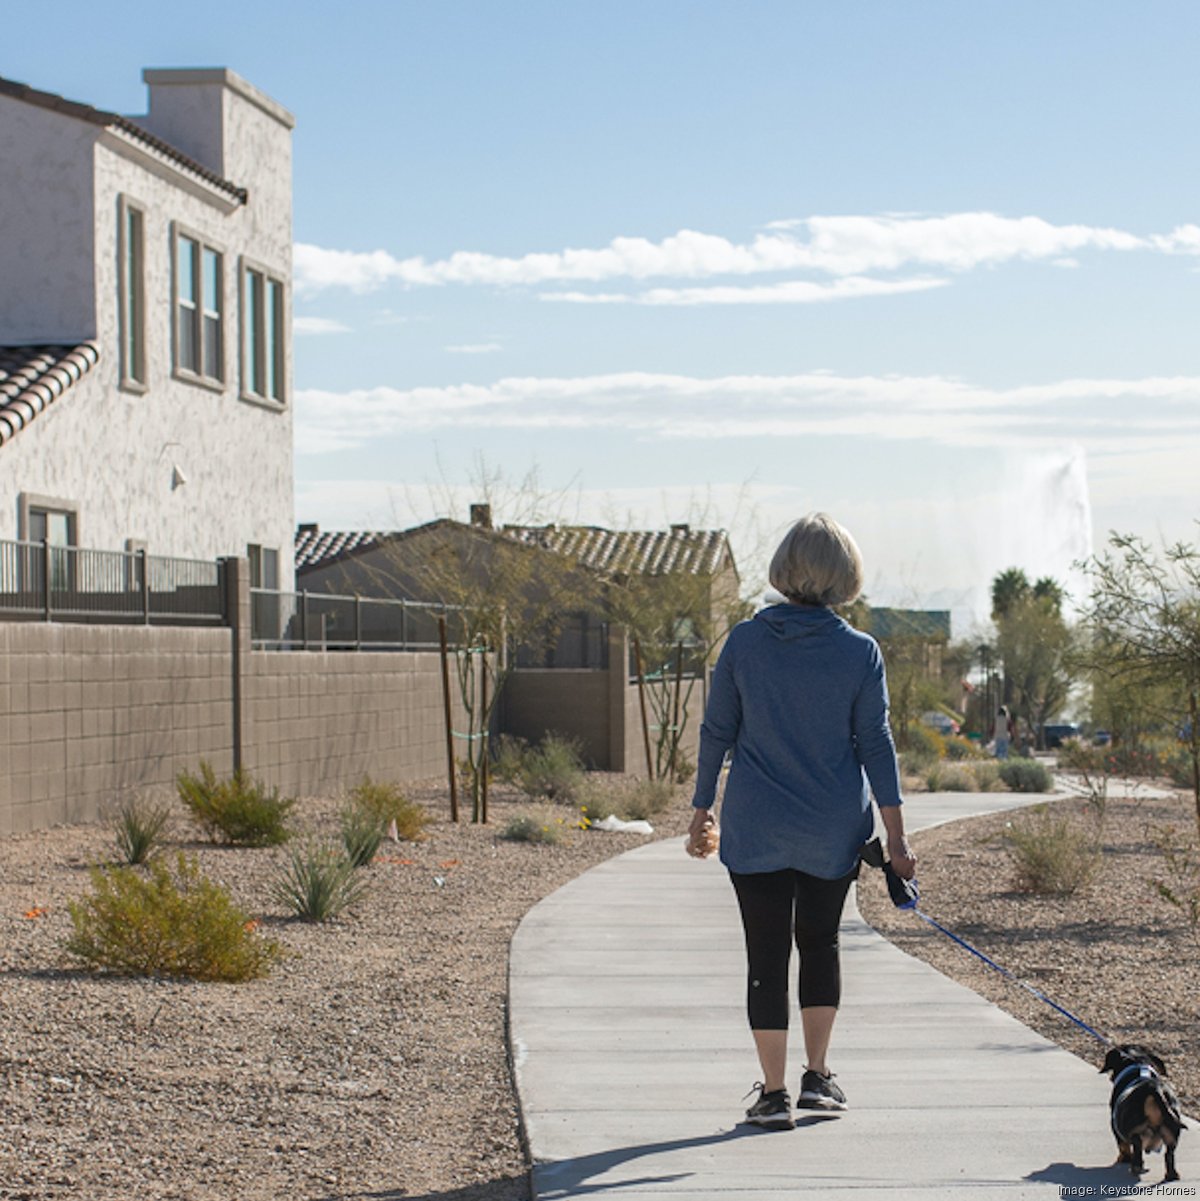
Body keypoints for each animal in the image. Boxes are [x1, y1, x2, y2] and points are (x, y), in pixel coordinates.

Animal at [1100, 1042, 1186, 1181]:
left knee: (1137, 1145)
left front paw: (1124, 1159)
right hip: (1172, 1133)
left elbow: (1123, 1146)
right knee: (1169, 1155)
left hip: (1133, 1128)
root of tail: (1154, 1088)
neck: (1137, 1061)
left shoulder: (1114, 1126)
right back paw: (1171, 1175)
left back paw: (1136, 1167)